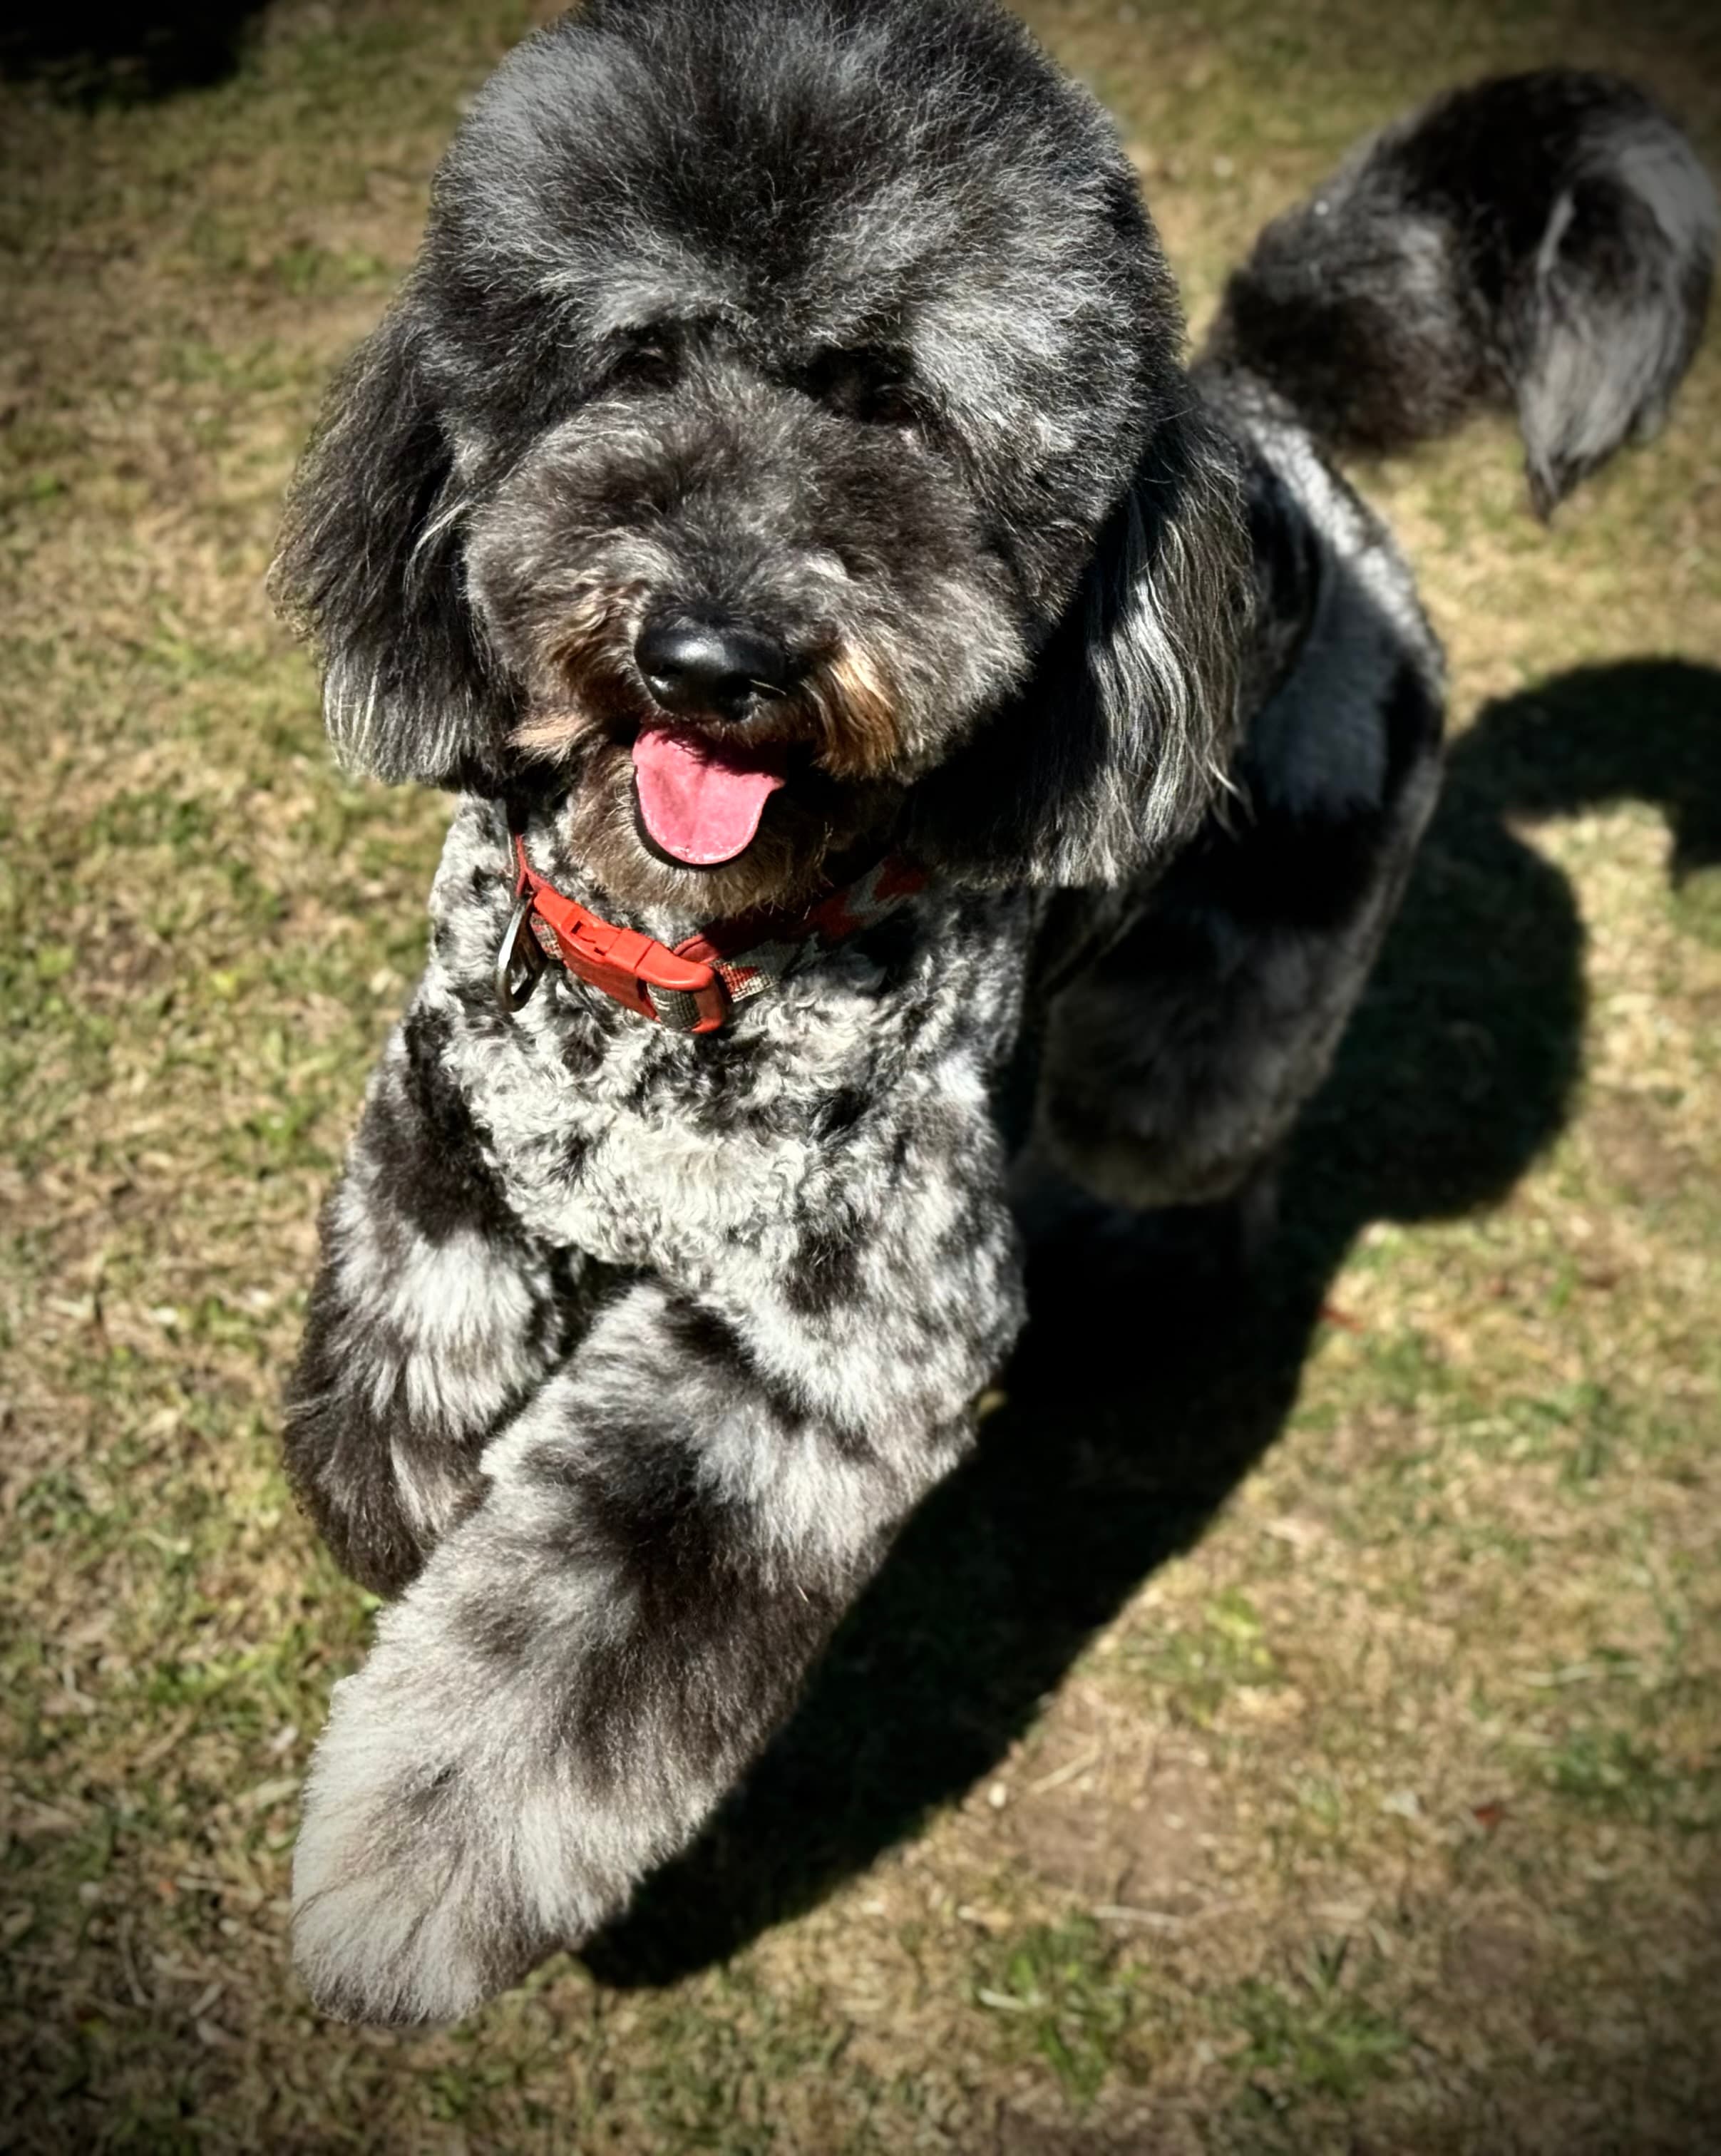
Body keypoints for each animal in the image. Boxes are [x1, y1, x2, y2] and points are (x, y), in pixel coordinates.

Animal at [266, 0, 1707, 2018]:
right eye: (634, 362)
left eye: (897, 408)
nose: (712, 654)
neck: (694, 979)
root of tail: (1259, 408)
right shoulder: (441, 1137)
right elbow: (388, 1395)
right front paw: (401, 1504)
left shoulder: (826, 1372)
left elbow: (558, 1672)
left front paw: (407, 1881)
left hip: (1212, 1018)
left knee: (1196, 1151)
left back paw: (1139, 1287)